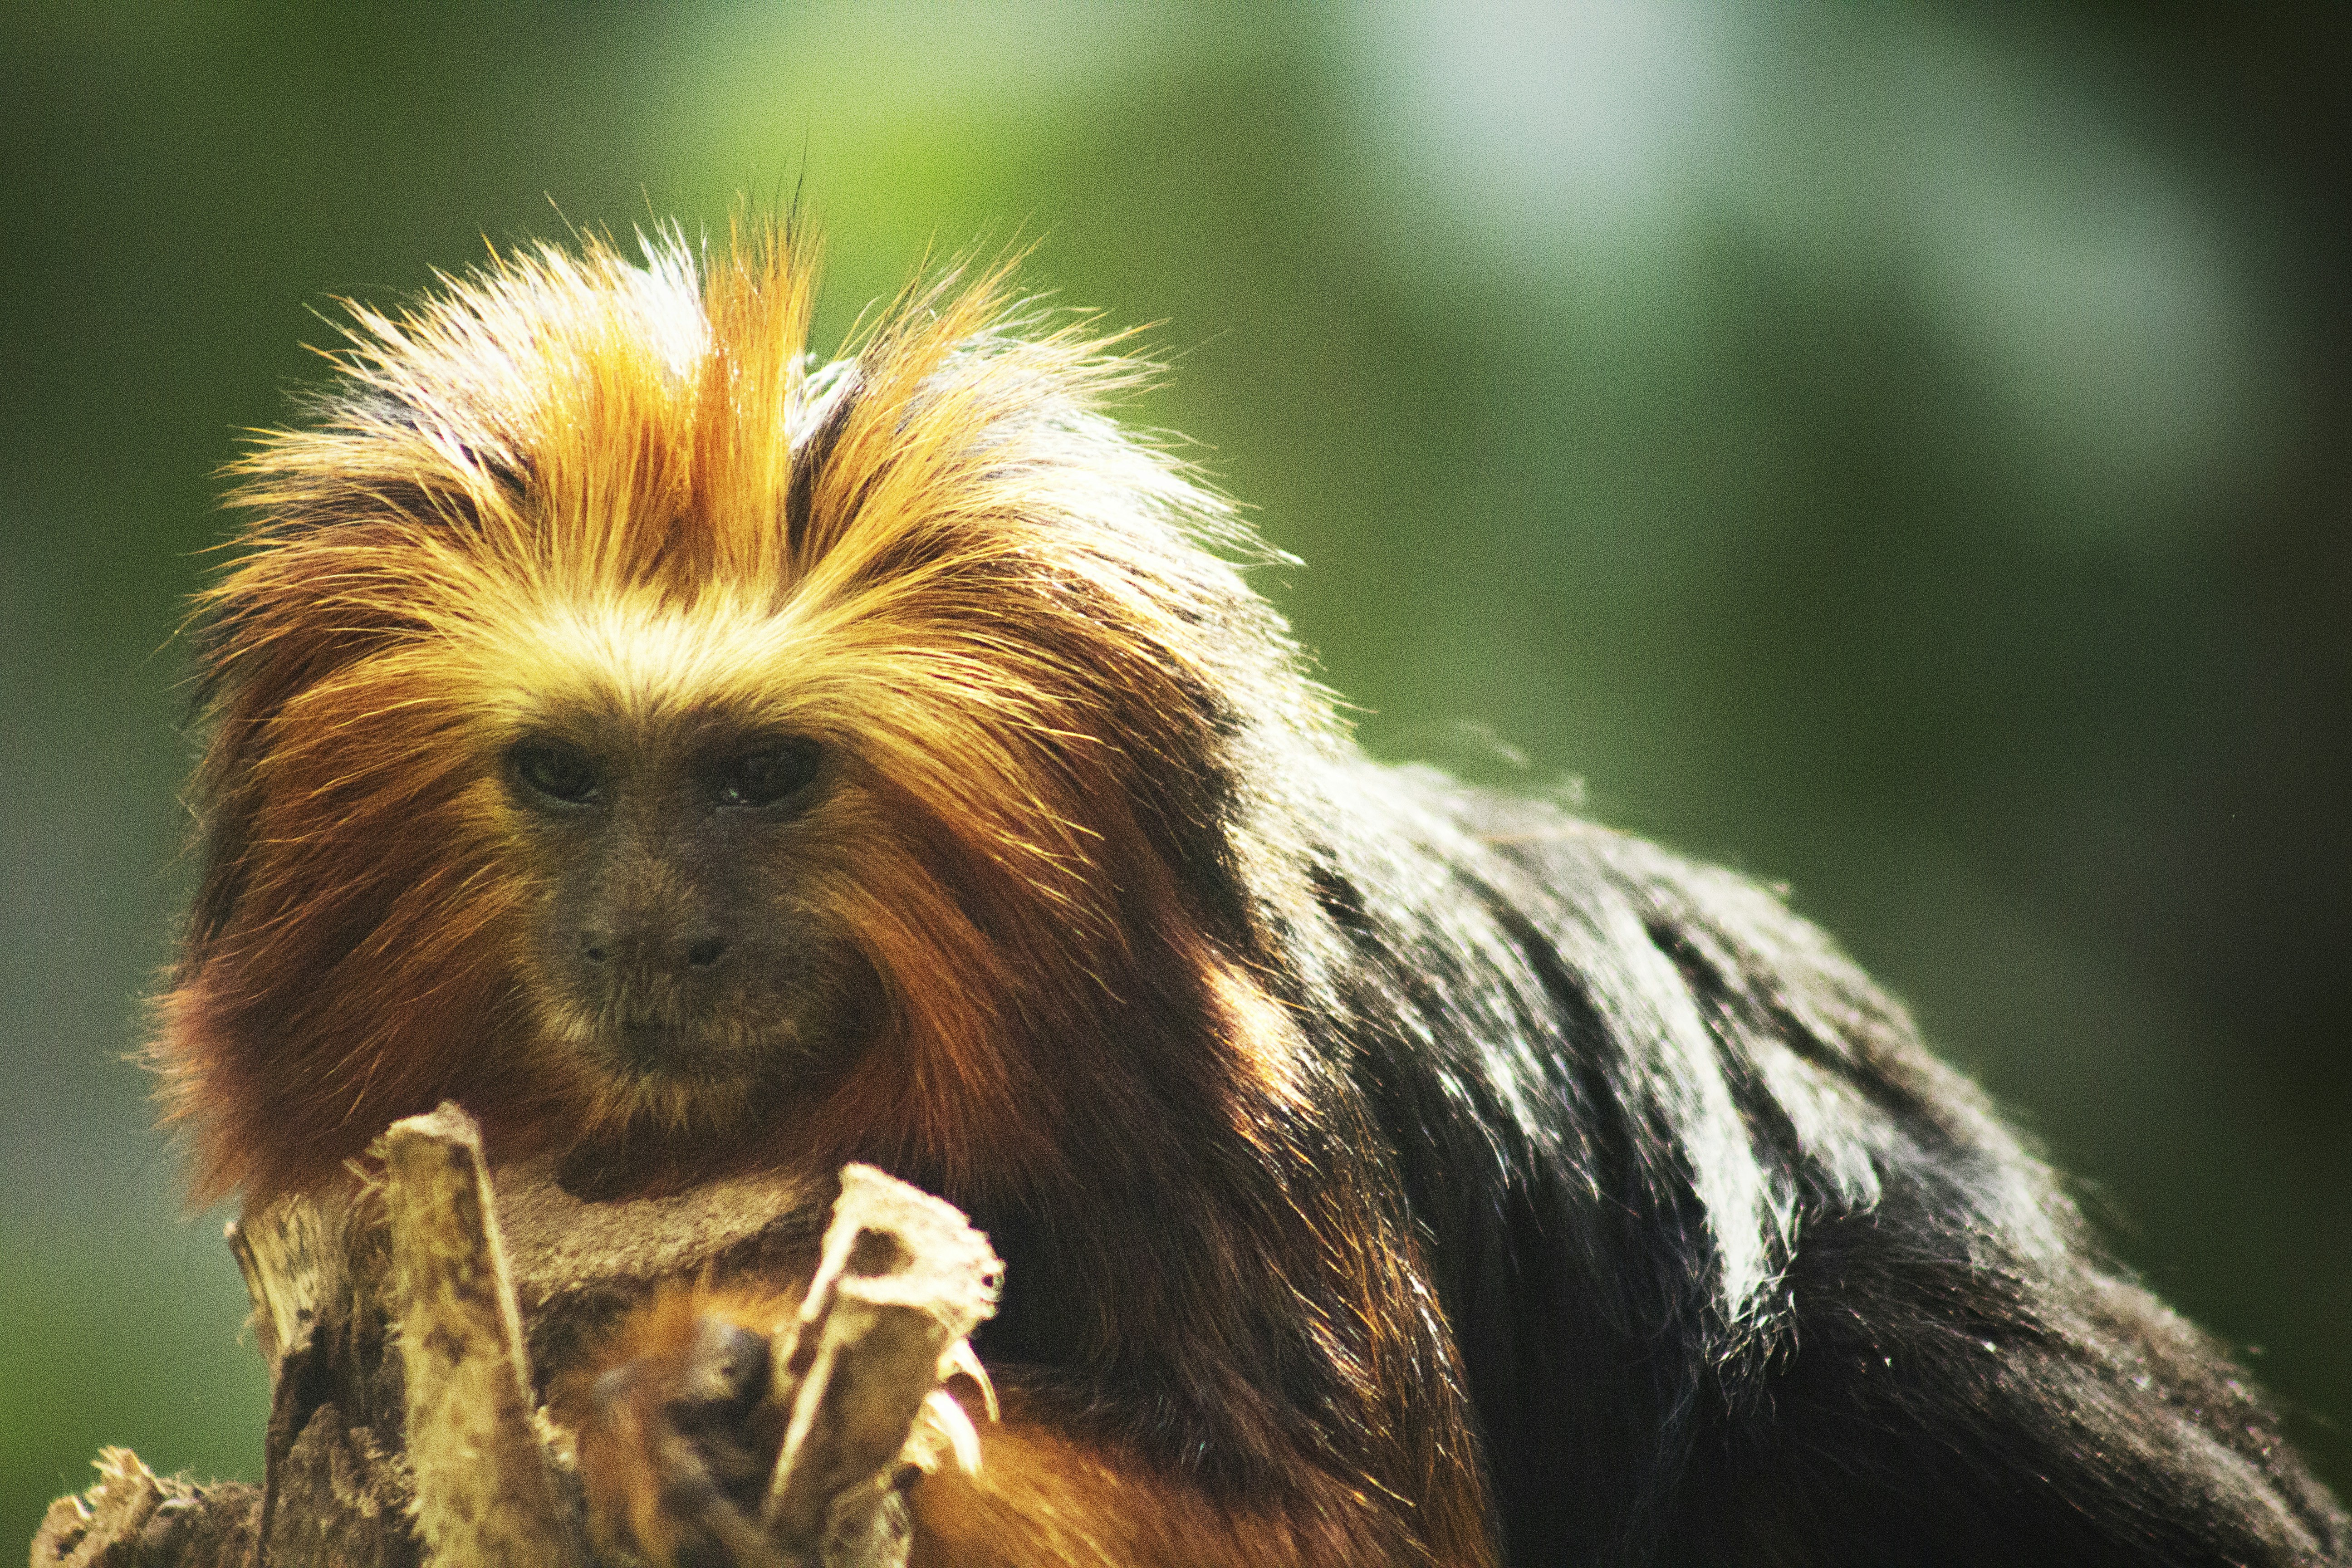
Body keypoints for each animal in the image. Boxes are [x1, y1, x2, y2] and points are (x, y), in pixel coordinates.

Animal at [150, 220, 2349, 1567]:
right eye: (565, 777)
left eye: (762, 779)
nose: (646, 937)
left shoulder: (1263, 1133)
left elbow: (1342, 1531)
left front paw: (680, 1391)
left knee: (1899, 1347)